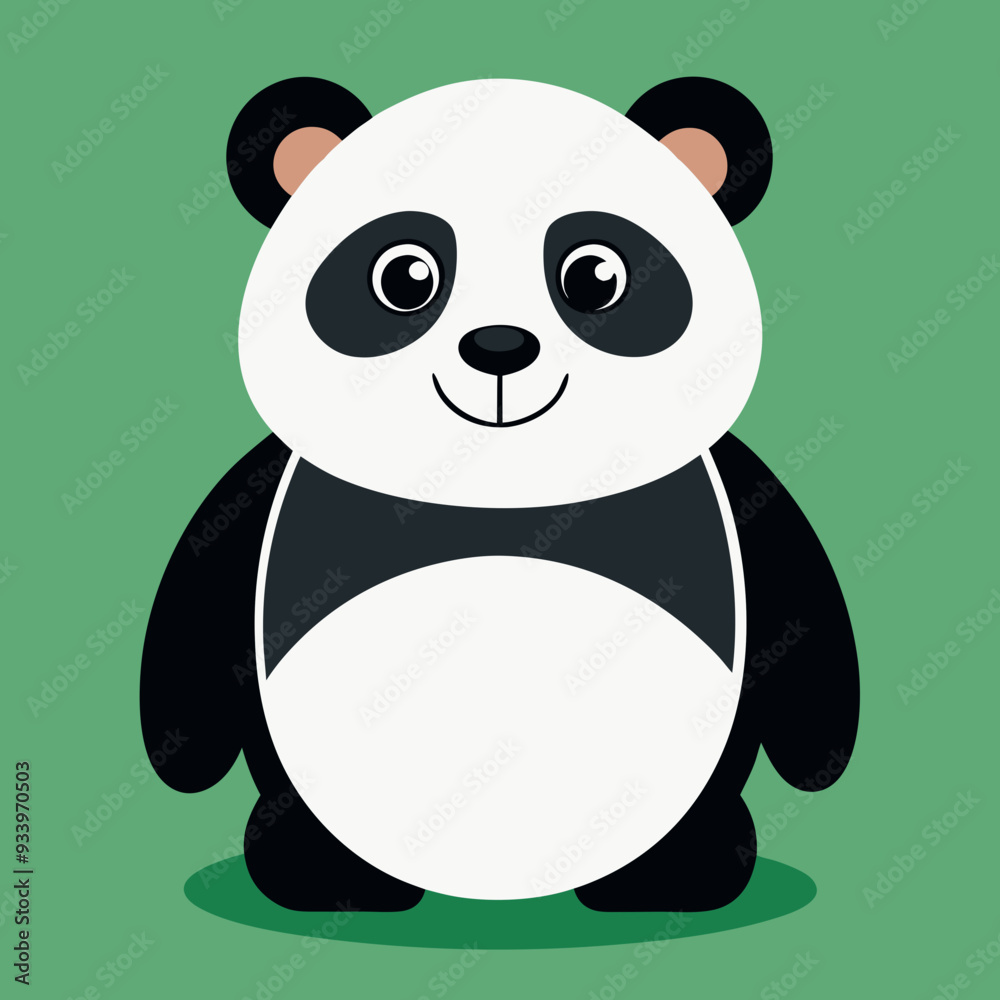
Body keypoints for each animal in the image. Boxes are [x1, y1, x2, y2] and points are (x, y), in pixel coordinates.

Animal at [141, 76, 859, 912]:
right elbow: (203, 583)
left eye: (596, 277)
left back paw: (679, 871)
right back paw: (323, 875)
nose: (499, 348)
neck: (497, 490)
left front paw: (821, 760)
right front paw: (181, 758)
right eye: (404, 278)